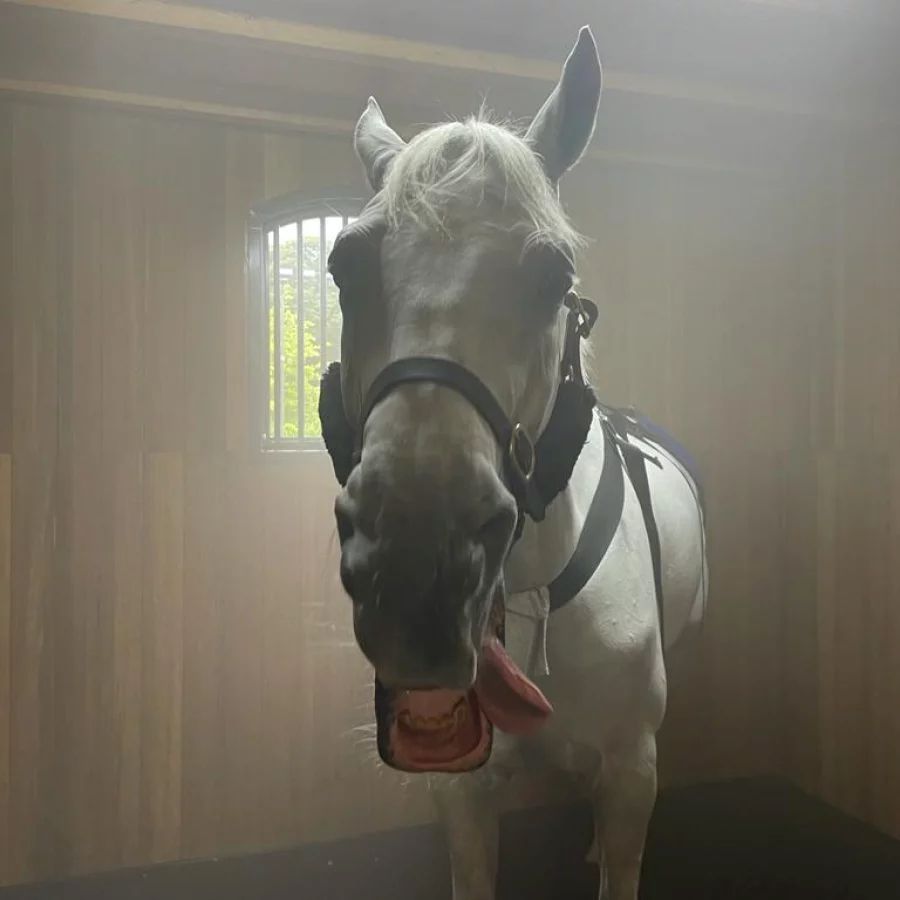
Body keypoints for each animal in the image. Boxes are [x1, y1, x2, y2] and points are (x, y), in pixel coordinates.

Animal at [319, 26, 708, 900]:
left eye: (553, 274)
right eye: (343, 266)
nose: (416, 560)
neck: (532, 591)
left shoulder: (631, 774)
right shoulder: (463, 791)